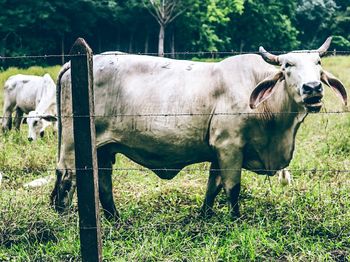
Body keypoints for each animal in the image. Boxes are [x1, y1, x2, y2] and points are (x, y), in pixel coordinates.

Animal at [50, 36, 346, 221]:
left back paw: (116, 219)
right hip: (73, 148)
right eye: (287, 66)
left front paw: (204, 215)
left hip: (104, 150)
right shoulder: (229, 147)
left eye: (318, 64)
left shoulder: (219, 152)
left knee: (103, 185)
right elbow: (232, 188)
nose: (312, 88)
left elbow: (212, 187)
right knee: (65, 182)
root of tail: (72, 63)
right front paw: (235, 219)